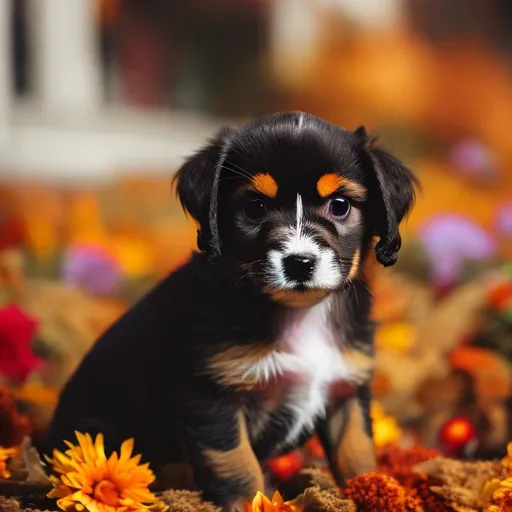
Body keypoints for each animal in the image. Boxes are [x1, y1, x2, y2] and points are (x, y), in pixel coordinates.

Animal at [45, 111, 420, 508]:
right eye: (255, 207)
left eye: (340, 205)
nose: (300, 263)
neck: (300, 314)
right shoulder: (211, 395)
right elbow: (236, 465)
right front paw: (253, 503)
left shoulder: (347, 386)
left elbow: (357, 453)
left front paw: (372, 490)